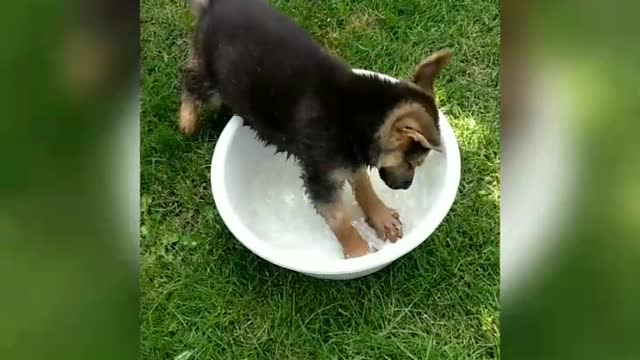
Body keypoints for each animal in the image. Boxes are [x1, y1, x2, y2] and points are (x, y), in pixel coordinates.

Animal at [180, 0, 450, 258]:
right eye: (413, 162)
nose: (406, 186)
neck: (358, 113)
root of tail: (214, 6)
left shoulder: (350, 158)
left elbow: (363, 185)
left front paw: (379, 215)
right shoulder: (322, 178)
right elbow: (340, 220)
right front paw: (358, 253)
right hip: (215, 84)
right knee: (188, 79)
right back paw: (187, 120)